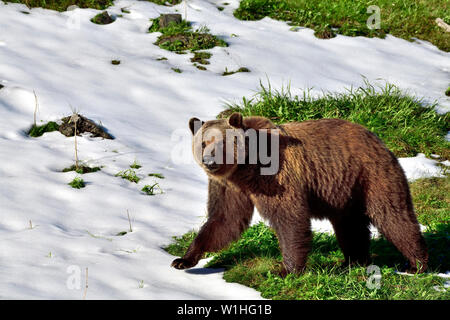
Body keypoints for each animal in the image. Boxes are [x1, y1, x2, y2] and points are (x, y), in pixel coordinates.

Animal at [172, 111, 428, 274]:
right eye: (203, 143)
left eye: (222, 142)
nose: (209, 161)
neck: (245, 168)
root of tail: (376, 138)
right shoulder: (229, 187)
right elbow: (224, 220)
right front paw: (184, 259)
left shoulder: (274, 178)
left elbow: (289, 218)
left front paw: (287, 270)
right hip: (345, 191)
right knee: (350, 227)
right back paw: (353, 261)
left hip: (371, 176)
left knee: (393, 216)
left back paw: (416, 263)